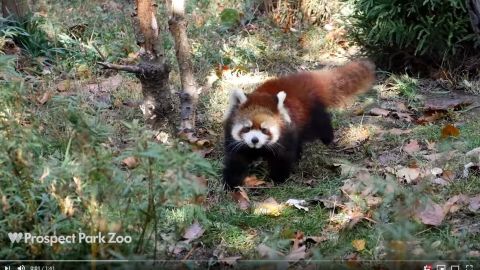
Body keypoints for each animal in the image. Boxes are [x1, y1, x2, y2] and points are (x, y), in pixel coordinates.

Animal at [223, 59, 376, 190]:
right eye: (247, 128)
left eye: (265, 130)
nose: (254, 140)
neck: (259, 148)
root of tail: (304, 80)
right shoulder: (238, 143)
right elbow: (236, 160)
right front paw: (231, 182)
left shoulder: (285, 137)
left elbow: (283, 158)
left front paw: (277, 179)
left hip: (311, 117)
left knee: (322, 124)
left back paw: (327, 139)